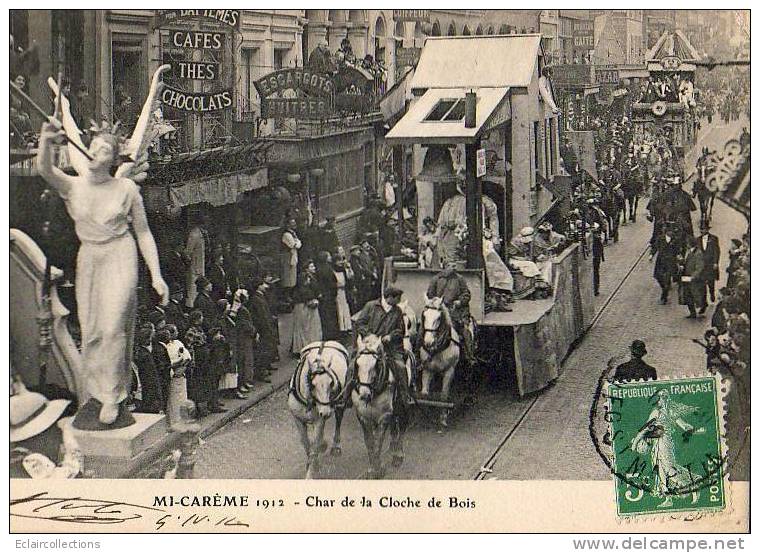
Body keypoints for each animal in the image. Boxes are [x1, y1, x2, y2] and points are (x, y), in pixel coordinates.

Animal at [288, 338, 350, 476]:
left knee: (338, 421)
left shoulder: (319, 419)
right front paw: (310, 462)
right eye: (313, 384)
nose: (326, 412)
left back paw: (335, 445)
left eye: (331, 383)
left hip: (339, 405)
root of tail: (327, 342)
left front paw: (312, 470)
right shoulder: (297, 419)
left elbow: (315, 444)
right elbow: (305, 442)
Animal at [418, 298, 460, 426]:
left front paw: (443, 417)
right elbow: (425, 394)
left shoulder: (449, 371)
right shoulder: (427, 369)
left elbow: (444, 395)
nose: (428, 342)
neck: (438, 349)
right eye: (424, 315)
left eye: (438, 318)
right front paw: (427, 413)